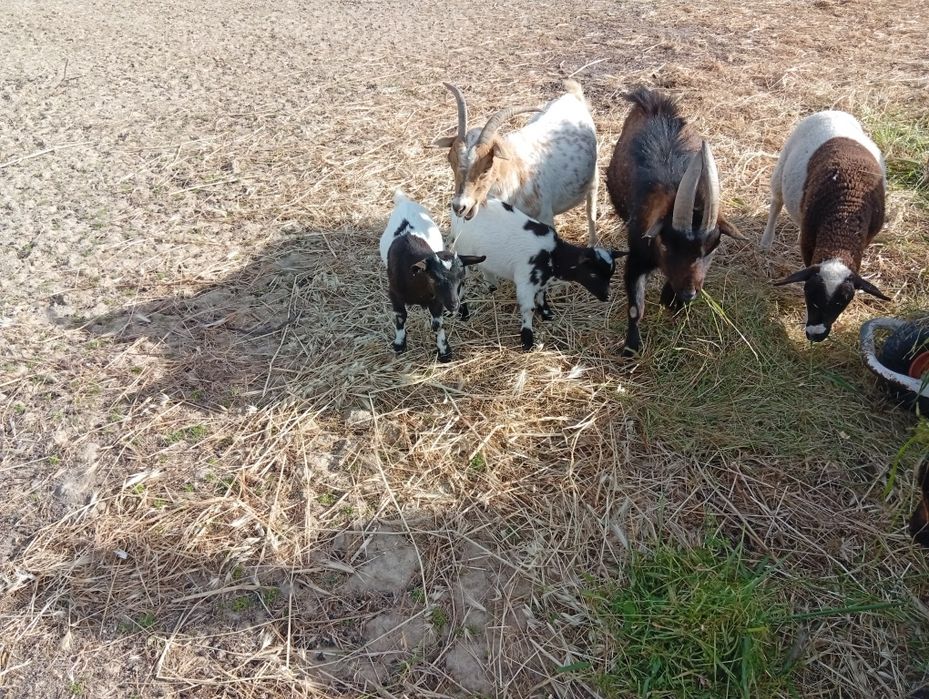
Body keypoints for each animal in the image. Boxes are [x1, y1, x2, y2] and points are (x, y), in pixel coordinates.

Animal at [380, 190, 484, 361]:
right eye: (435, 279)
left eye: (461, 280)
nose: (454, 305)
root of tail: (404, 201)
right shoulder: (394, 293)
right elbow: (400, 317)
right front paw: (399, 344)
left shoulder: (436, 300)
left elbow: (437, 325)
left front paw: (444, 351)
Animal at [433, 80, 600, 245]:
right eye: (451, 162)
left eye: (486, 169)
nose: (459, 207)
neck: (516, 173)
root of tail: (572, 95)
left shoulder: (545, 217)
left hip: (593, 177)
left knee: (591, 207)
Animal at [451, 199, 623, 350]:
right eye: (593, 275)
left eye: (610, 275)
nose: (608, 296)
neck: (554, 256)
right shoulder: (526, 282)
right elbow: (529, 309)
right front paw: (527, 339)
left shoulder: (540, 280)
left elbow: (541, 296)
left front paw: (547, 314)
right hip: (463, 252)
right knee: (460, 285)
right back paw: (464, 313)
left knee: (486, 269)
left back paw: (492, 288)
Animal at [605, 87, 744, 355]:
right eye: (665, 244)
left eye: (712, 248)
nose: (688, 294)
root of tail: (651, 101)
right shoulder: (637, 254)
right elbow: (635, 307)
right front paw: (631, 348)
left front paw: (670, 300)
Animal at [761, 110, 890, 341]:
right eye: (809, 293)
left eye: (843, 301)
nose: (815, 334)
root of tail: (834, 111)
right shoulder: (809, 243)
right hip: (781, 169)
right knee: (776, 203)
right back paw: (766, 241)